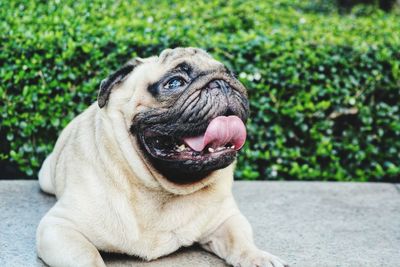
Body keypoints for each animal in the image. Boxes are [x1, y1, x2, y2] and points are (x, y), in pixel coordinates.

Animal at [36, 47, 288, 266]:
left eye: (232, 75)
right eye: (175, 82)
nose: (222, 82)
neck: (159, 189)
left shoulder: (226, 219)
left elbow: (241, 241)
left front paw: (258, 257)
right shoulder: (59, 228)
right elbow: (89, 257)